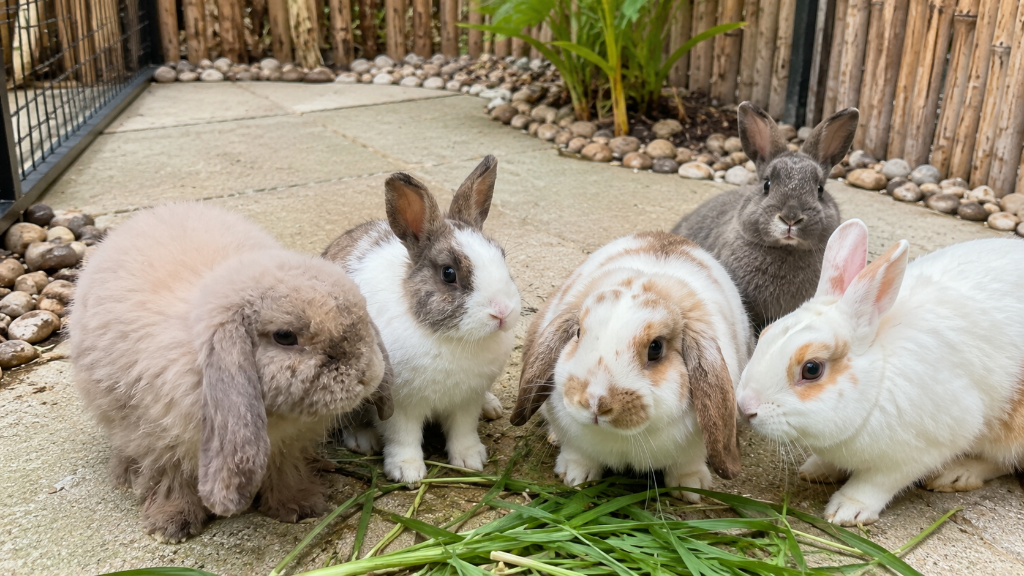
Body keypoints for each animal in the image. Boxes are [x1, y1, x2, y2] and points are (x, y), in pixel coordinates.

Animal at [69, 203, 393, 543]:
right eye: (285, 336)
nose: (368, 375)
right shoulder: (160, 441)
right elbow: (171, 478)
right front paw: (171, 524)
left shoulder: (287, 444)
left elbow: (285, 469)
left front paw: (299, 506)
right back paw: (126, 474)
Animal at [322, 155, 521, 484]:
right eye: (448, 273)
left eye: (502, 256)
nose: (503, 312)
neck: (452, 338)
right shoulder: (399, 404)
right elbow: (403, 436)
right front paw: (407, 472)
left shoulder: (466, 401)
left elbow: (463, 431)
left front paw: (470, 461)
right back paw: (362, 439)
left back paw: (491, 407)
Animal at [511, 232, 751, 500]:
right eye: (578, 333)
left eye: (655, 348)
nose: (595, 402)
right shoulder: (573, 440)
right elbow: (578, 456)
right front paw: (575, 478)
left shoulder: (693, 449)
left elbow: (687, 465)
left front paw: (691, 489)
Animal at [735, 218, 1024, 526]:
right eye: (765, 333)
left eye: (812, 369)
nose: (745, 407)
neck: (878, 381)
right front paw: (816, 470)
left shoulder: (919, 451)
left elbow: (876, 483)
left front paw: (847, 510)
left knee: (1000, 461)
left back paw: (957, 474)